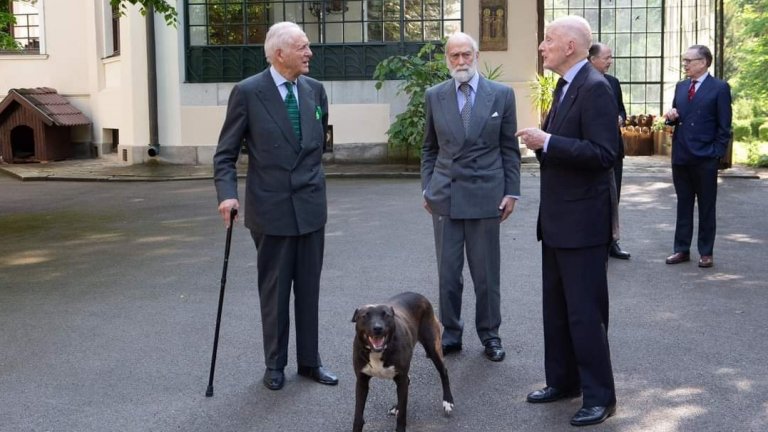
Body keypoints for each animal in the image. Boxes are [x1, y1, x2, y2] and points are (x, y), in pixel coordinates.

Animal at [352, 290, 452, 432]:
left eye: (386, 315)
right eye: (365, 316)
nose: (378, 328)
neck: (378, 352)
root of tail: (418, 295)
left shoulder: (401, 377)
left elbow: (402, 415)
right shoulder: (361, 381)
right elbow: (358, 415)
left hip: (433, 347)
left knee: (443, 371)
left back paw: (448, 401)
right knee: (407, 383)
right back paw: (397, 407)